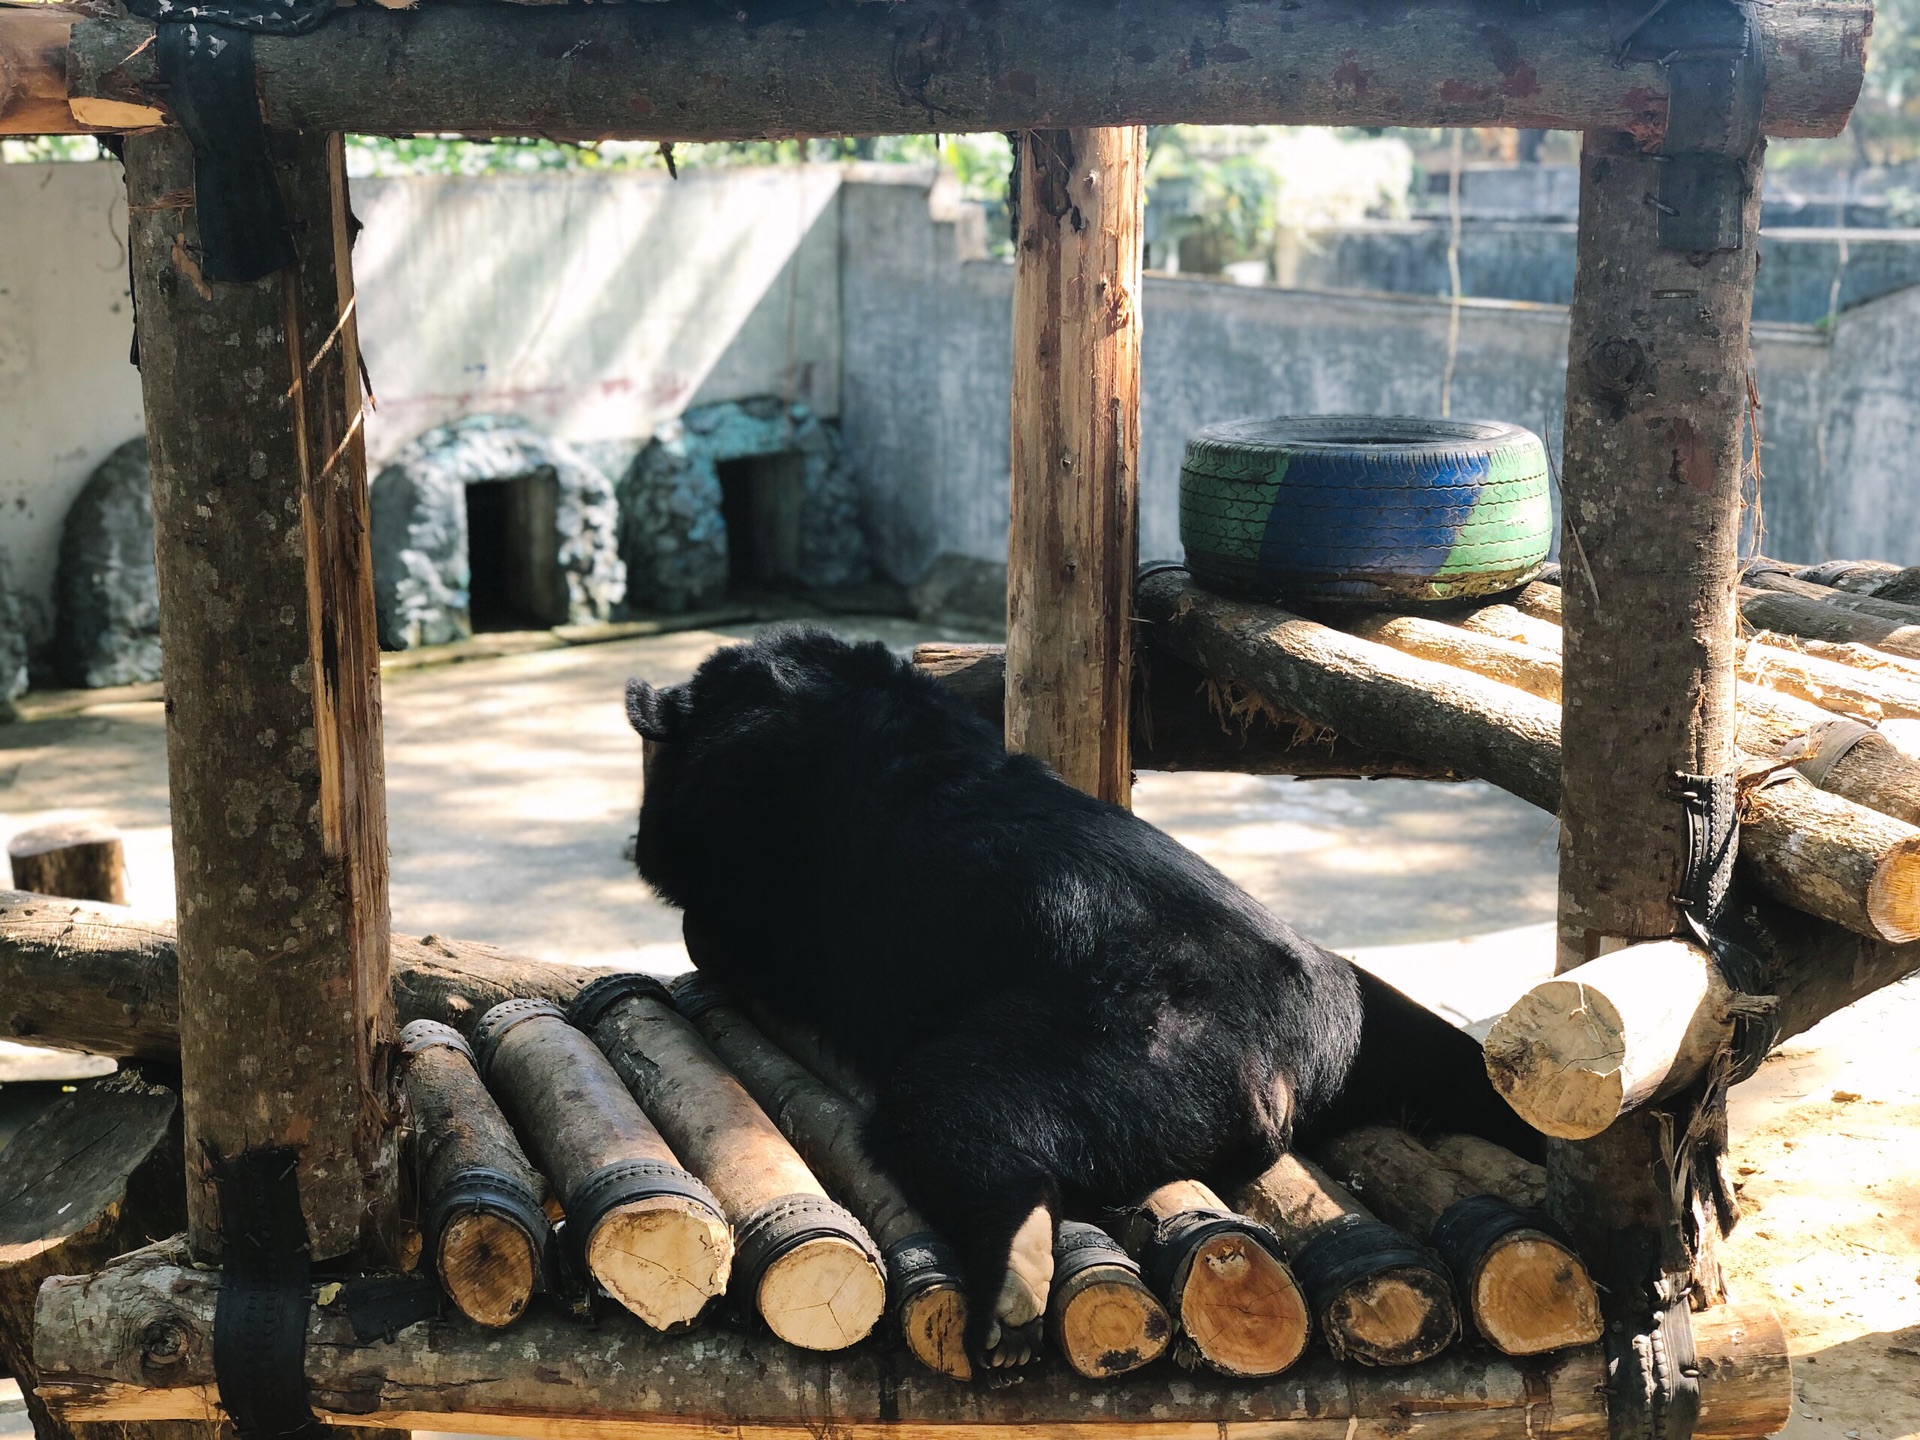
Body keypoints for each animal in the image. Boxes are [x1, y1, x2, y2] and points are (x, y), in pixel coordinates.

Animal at [629, 629, 1528, 1374]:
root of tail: (1280, 1068)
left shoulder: (756, 838)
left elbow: (717, 929)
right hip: (1360, 1021)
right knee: (1455, 1062)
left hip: (1112, 1046)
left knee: (957, 1114)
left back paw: (1012, 1291)